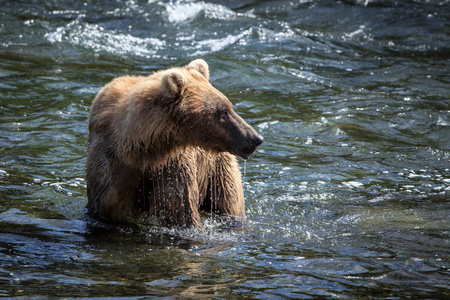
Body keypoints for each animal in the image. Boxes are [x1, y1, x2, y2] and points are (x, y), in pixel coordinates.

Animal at [85, 59, 264, 229]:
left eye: (229, 107)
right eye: (223, 112)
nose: (256, 138)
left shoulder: (172, 165)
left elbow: (180, 209)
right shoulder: (111, 166)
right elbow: (108, 206)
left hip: (217, 169)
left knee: (229, 200)